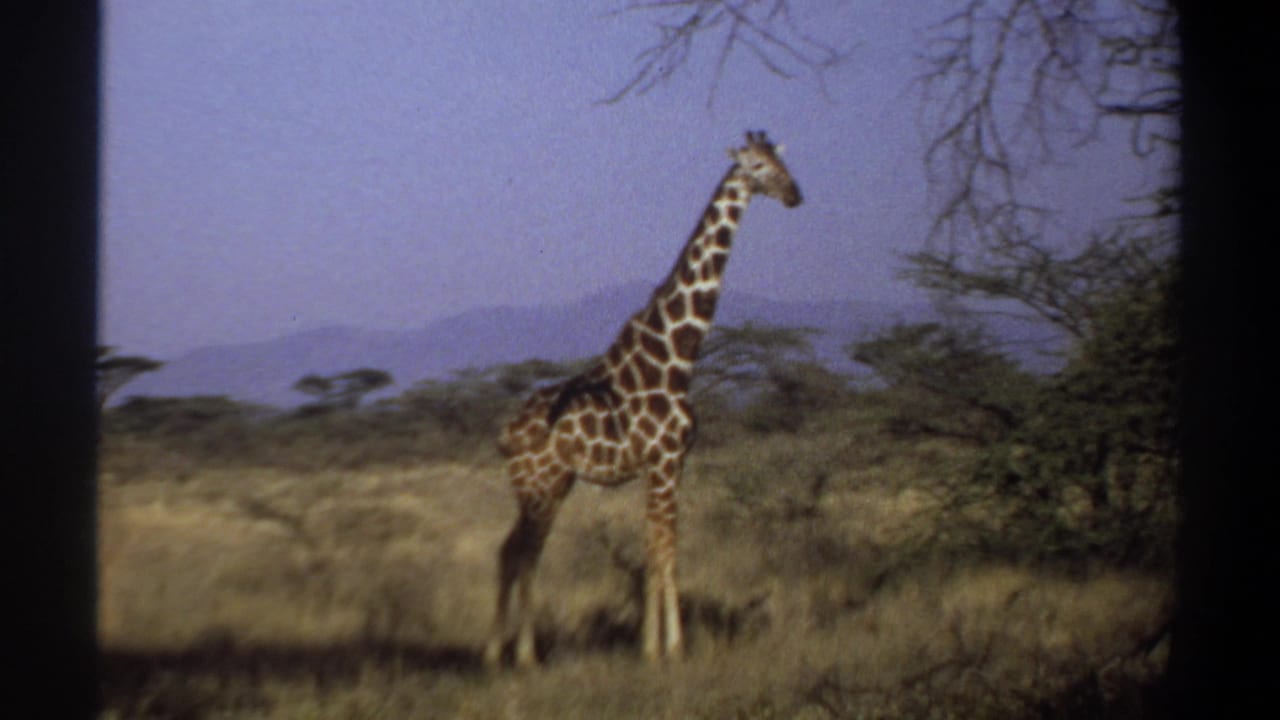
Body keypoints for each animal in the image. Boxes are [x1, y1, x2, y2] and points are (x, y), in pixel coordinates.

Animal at [484, 130, 802, 668]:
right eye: (757, 166)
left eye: (782, 161)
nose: (794, 194)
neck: (676, 357)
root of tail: (505, 432)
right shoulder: (664, 460)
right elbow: (666, 552)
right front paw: (672, 647)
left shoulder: (669, 465)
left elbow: (655, 549)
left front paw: (649, 645)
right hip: (538, 485)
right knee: (519, 553)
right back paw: (517, 655)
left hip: (552, 484)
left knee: (516, 552)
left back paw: (504, 654)